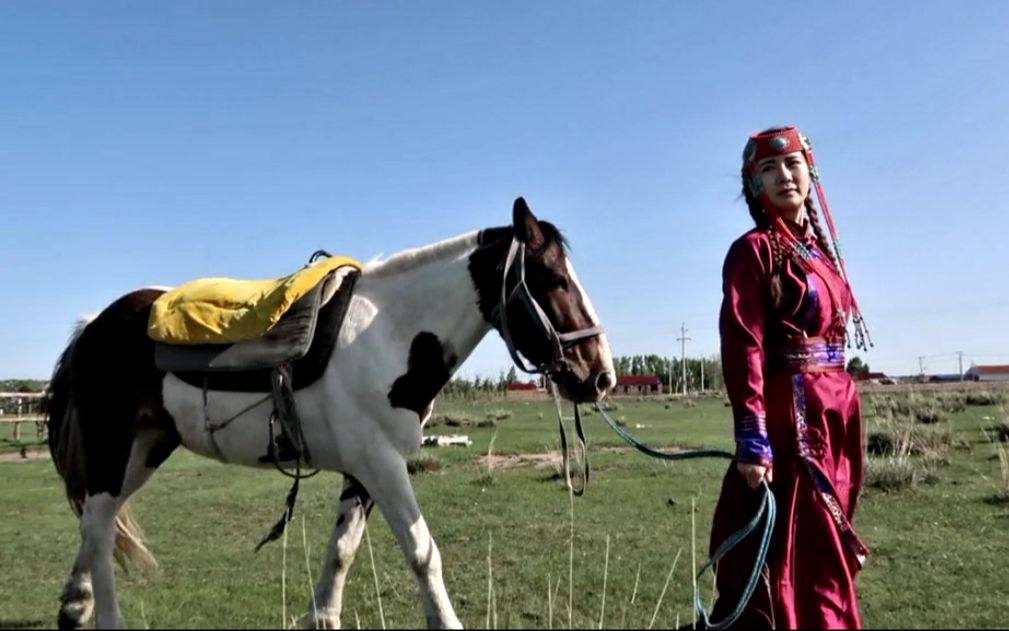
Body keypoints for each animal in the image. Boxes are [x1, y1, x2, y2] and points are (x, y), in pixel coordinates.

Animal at [41, 195, 613, 625]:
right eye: (554, 280)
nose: (600, 375)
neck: (389, 335)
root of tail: (94, 325)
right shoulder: (382, 465)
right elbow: (423, 551)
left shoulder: (364, 471)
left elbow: (341, 551)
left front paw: (323, 617)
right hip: (111, 443)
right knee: (99, 524)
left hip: (145, 447)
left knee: (98, 521)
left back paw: (75, 603)